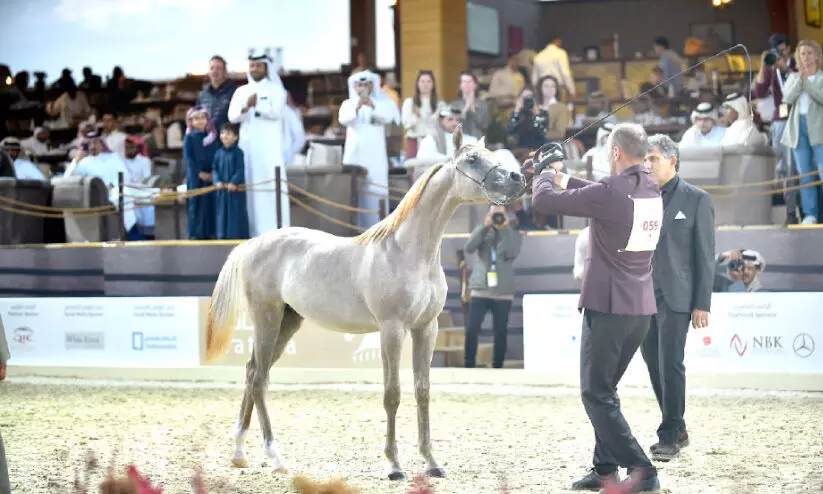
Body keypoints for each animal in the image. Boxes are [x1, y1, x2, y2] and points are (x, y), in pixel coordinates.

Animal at [206, 125, 528, 480]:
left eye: (492, 155)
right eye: (472, 159)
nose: (517, 178)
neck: (408, 252)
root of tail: (251, 244)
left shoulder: (426, 328)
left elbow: (422, 391)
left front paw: (431, 462)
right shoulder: (392, 329)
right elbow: (392, 394)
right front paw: (394, 465)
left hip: (288, 322)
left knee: (252, 373)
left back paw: (239, 453)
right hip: (267, 317)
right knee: (260, 378)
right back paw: (275, 457)